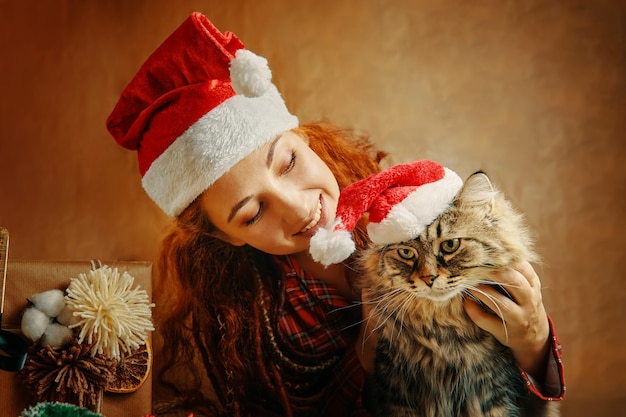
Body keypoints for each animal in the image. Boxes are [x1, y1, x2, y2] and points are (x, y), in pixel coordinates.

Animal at [358, 171, 560, 414]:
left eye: (450, 245)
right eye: (406, 252)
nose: (428, 278)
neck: (444, 330)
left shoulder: (493, 388)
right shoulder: (396, 388)